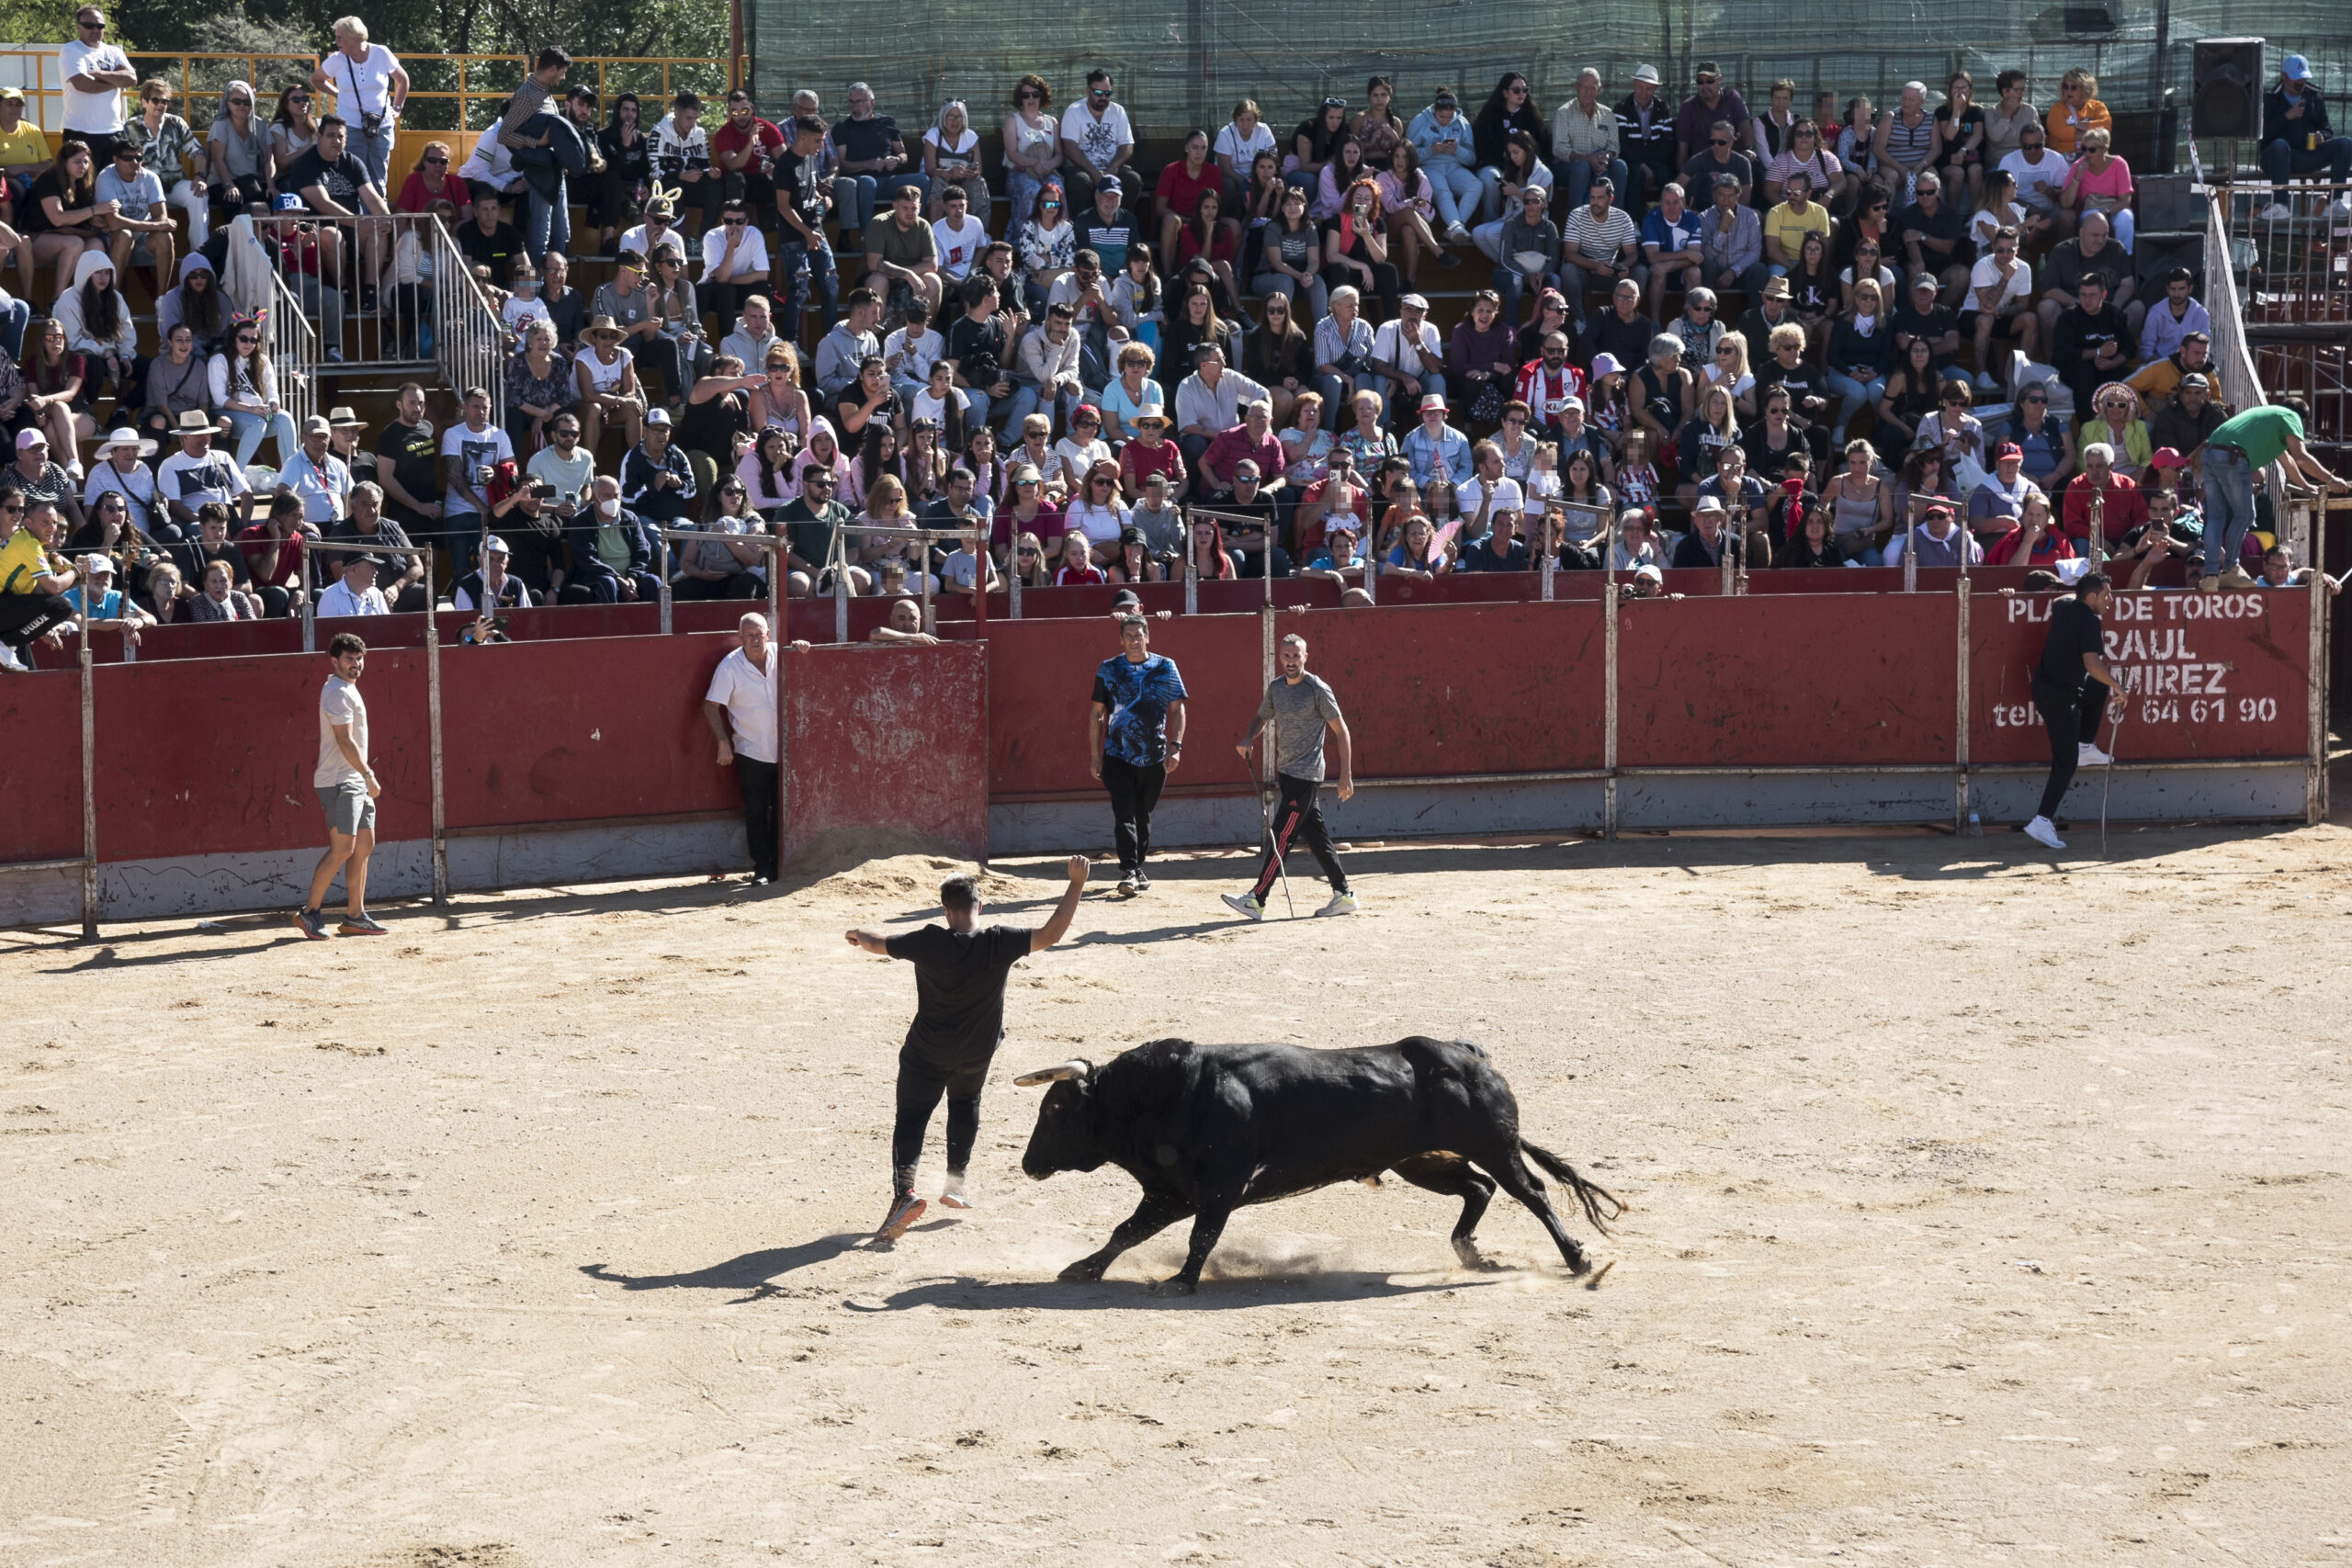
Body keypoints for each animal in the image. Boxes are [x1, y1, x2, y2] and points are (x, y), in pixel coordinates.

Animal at [1011, 1034, 1618, 1297]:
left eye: (1056, 1109)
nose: (1028, 1164)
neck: (1167, 1093)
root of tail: (1469, 1054)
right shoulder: (1170, 1192)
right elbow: (1126, 1231)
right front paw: (1082, 1269)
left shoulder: (1217, 1191)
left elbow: (1200, 1237)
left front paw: (1180, 1282)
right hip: (1420, 1161)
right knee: (1479, 1188)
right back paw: (1471, 1254)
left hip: (1495, 1145)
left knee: (1531, 1192)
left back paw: (1579, 1261)